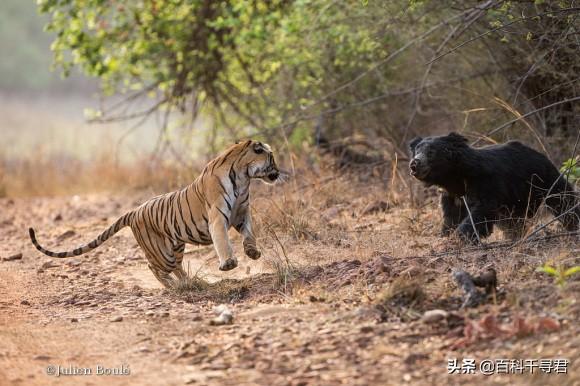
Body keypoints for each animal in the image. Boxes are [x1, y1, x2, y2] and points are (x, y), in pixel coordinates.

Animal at [28, 140, 280, 288]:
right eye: (271, 158)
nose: (278, 172)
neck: (245, 177)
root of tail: (133, 211)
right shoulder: (218, 218)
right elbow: (223, 242)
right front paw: (228, 263)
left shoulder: (242, 214)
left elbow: (250, 233)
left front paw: (253, 252)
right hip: (162, 252)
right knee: (154, 267)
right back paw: (172, 285)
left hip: (175, 246)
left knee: (176, 266)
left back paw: (190, 282)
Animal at [408, 133, 580, 241]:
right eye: (416, 151)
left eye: (431, 152)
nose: (414, 164)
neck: (454, 179)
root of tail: (540, 154)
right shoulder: (451, 196)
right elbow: (451, 218)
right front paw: (446, 236)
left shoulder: (485, 183)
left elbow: (481, 212)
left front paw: (459, 238)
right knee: (513, 222)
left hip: (543, 178)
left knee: (562, 199)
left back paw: (573, 224)